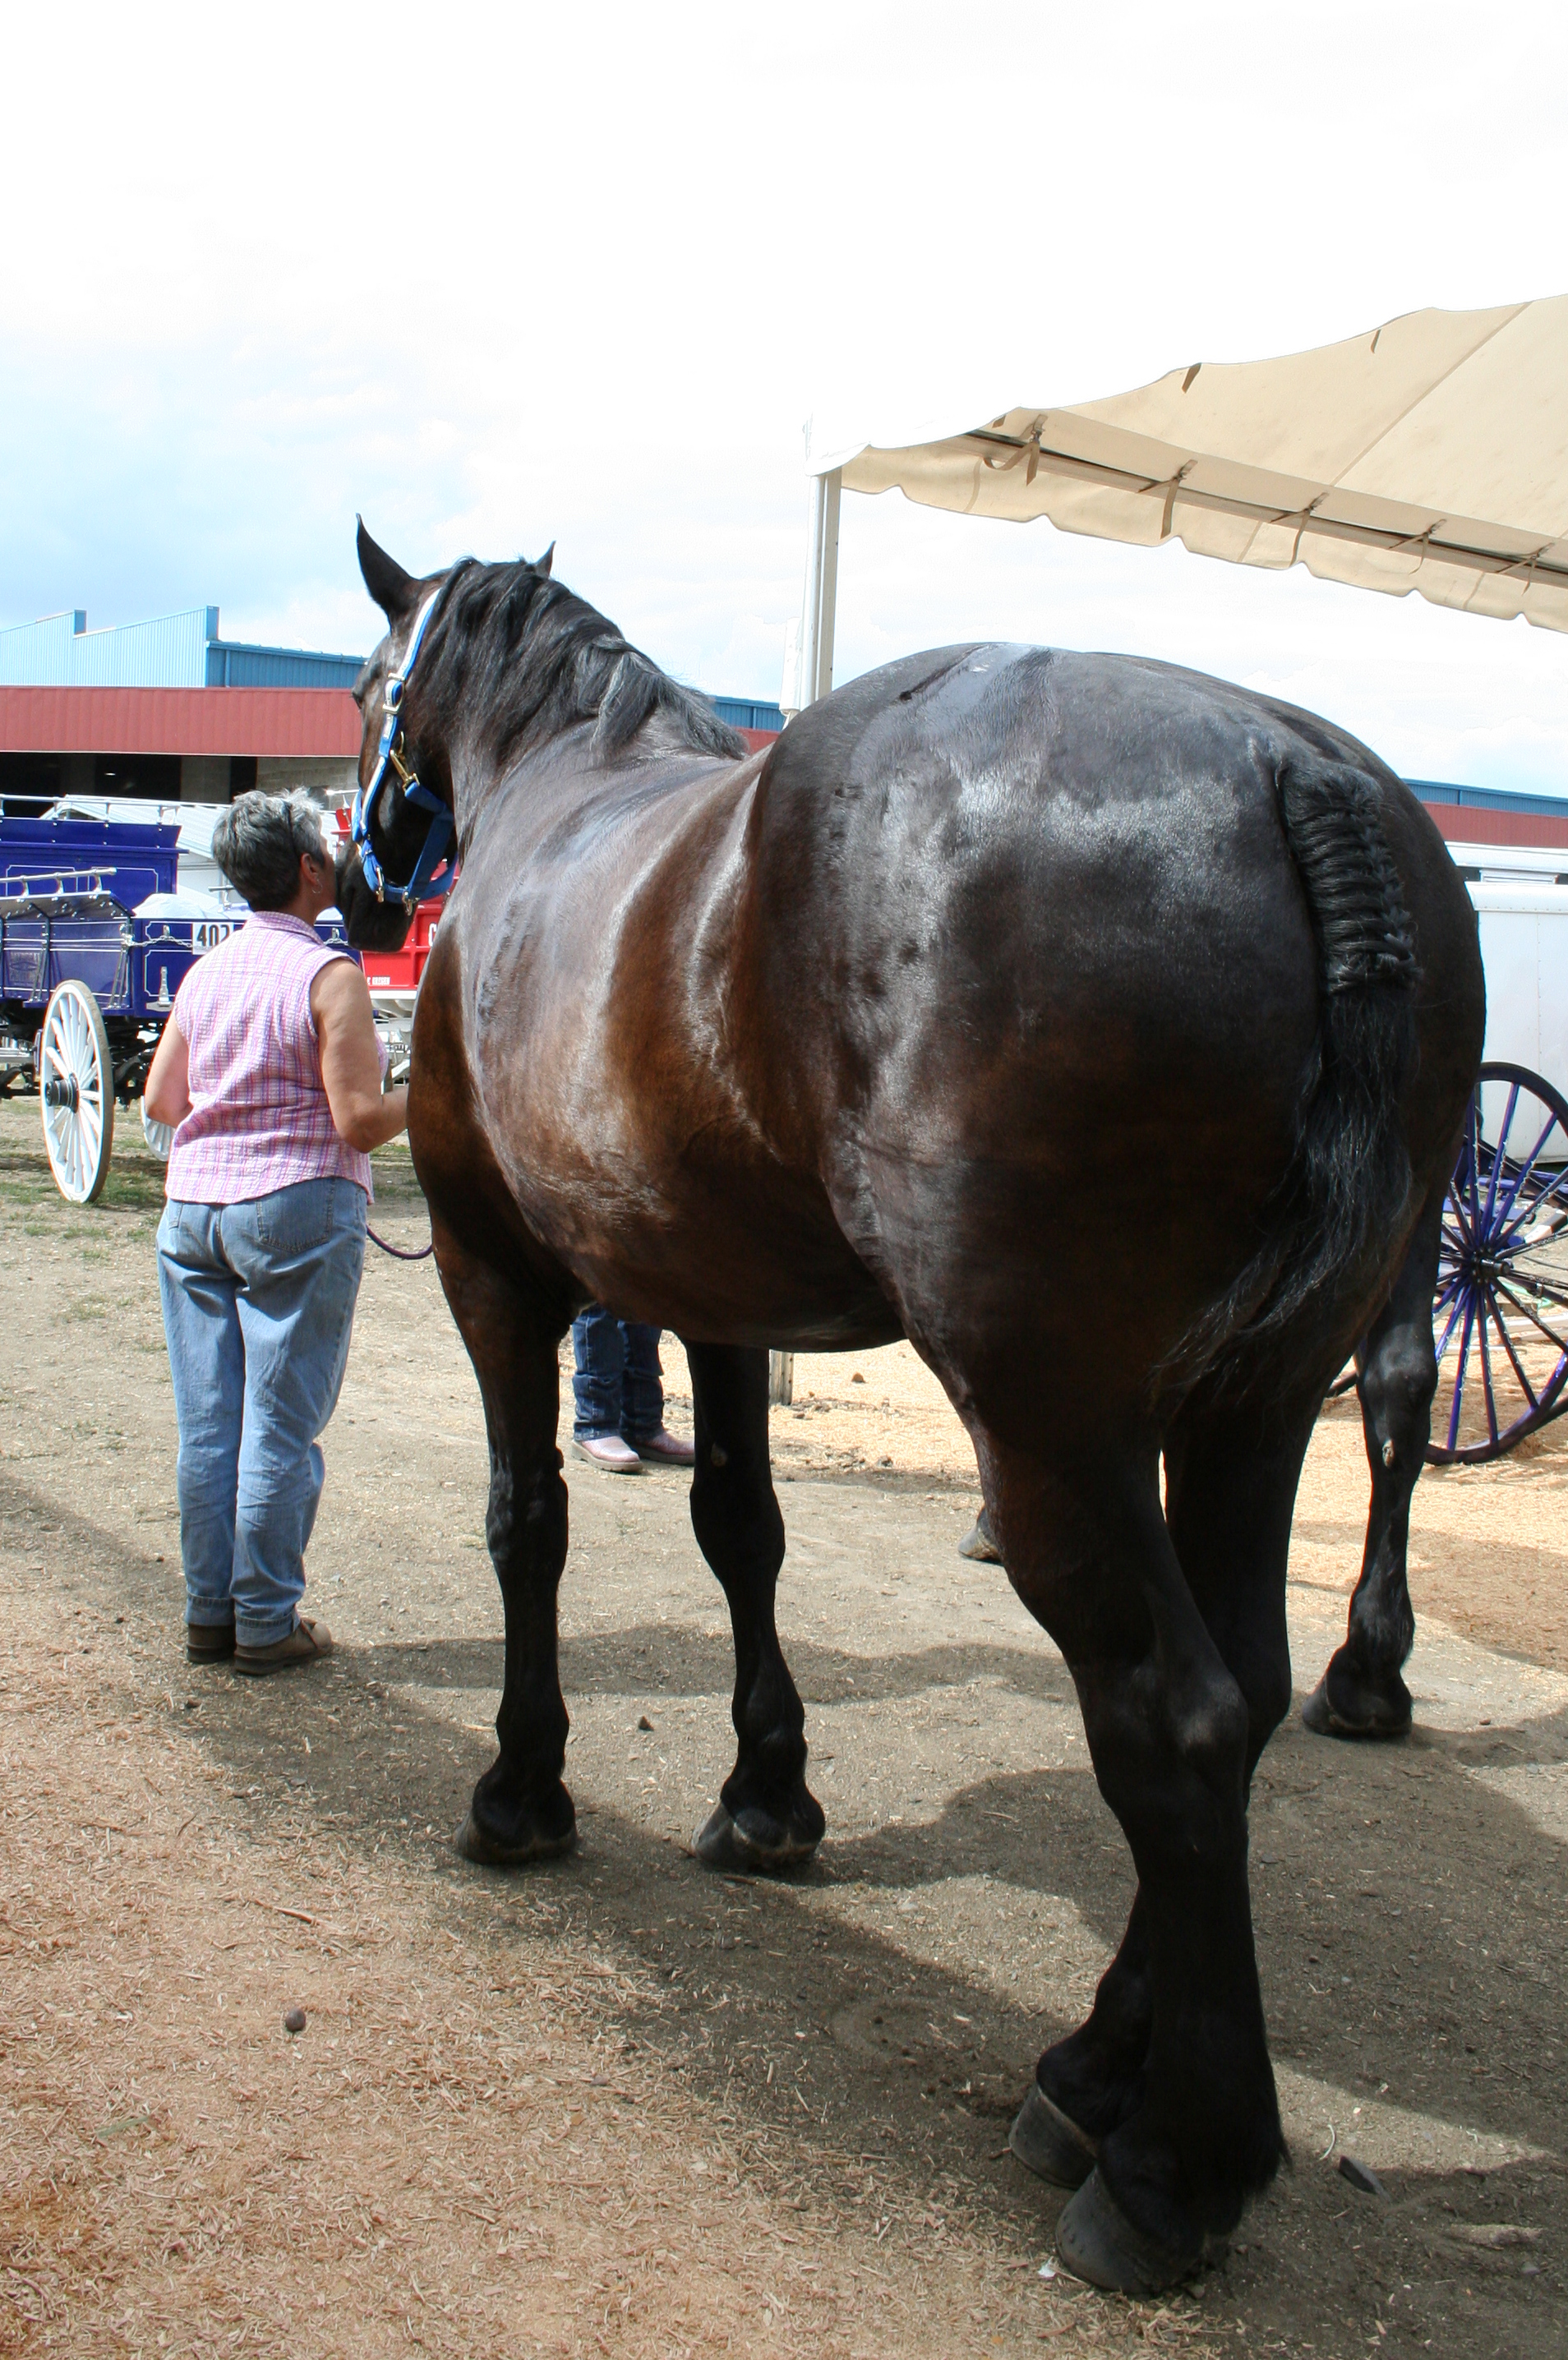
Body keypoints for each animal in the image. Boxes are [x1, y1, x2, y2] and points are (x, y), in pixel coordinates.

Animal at [339, 526, 1483, 2293]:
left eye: (358, 688)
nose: (351, 880)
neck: (564, 783)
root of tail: (1286, 763)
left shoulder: (494, 1268)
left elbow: (526, 1521)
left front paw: (522, 1790)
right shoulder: (719, 1303)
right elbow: (739, 1527)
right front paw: (765, 1793)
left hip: (1056, 1422)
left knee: (1174, 1716)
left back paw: (1170, 2164)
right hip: (1253, 1402)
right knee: (1245, 1689)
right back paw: (1092, 2069)